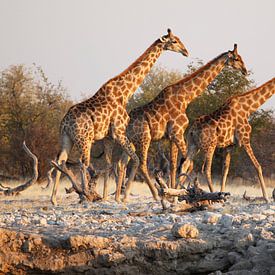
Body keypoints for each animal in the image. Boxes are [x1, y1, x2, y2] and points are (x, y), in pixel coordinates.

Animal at [50, 29, 190, 206]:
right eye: (174, 41)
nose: (186, 51)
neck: (124, 93)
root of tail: (64, 123)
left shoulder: (108, 136)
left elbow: (110, 164)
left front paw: (109, 197)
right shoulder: (118, 131)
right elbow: (135, 160)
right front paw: (151, 195)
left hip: (66, 138)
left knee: (61, 160)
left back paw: (55, 199)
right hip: (84, 139)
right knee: (83, 163)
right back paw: (85, 195)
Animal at [115, 43, 249, 203]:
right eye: (236, 58)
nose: (245, 70)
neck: (185, 97)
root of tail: (127, 123)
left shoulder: (172, 136)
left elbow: (174, 165)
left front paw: (174, 192)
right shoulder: (177, 133)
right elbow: (187, 164)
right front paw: (179, 193)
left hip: (131, 140)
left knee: (123, 162)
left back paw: (120, 197)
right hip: (144, 138)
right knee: (141, 164)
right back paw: (154, 195)